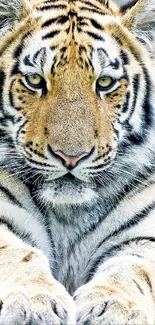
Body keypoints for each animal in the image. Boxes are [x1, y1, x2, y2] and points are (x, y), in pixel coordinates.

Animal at [0, 0, 155, 322]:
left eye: (105, 82)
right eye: (35, 80)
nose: (71, 156)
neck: (68, 215)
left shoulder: (144, 235)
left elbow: (132, 270)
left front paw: (116, 307)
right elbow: (20, 254)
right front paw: (34, 303)